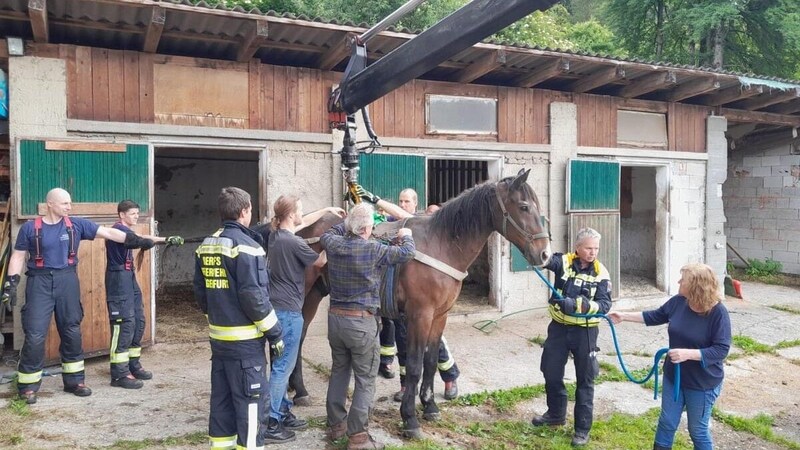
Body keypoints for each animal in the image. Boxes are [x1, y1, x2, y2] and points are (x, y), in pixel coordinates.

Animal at [282, 168, 552, 436]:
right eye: (524, 207)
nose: (545, 254)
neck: (441, 245)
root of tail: (303, 228)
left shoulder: (440, 316)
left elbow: (430, 362)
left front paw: (430, 406)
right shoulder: (419, 315)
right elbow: (413, 366)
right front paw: (410, 417)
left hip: (315, 293)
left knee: (300, 336)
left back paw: (299, 389)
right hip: (302, 294)